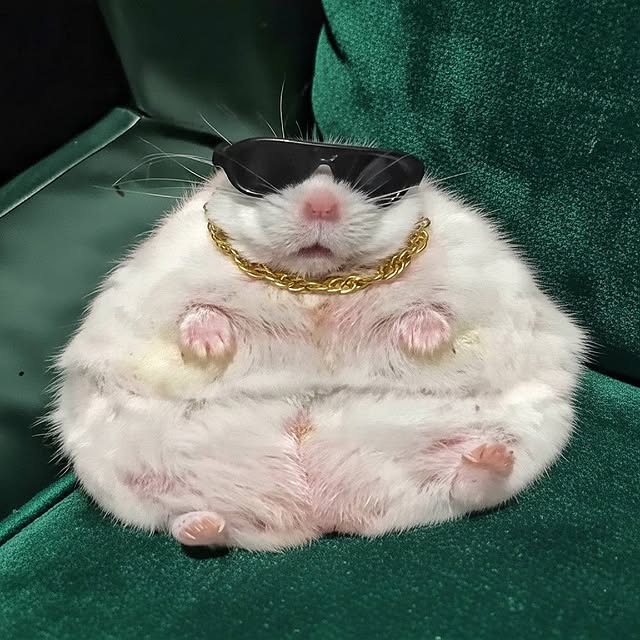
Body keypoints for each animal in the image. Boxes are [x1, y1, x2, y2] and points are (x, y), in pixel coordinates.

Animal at [52, 161, 586, 551]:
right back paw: (202, 527)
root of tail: (321, 515)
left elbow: (435, 309)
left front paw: (422, 340)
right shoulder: (160, 288)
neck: (315, 283)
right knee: (193, 522)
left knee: (466, 490)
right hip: (131, 477)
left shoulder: (475, 282)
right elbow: (197, 311)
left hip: (522, 437)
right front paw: (210, 346)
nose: (321, 204)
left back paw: (485, 459)